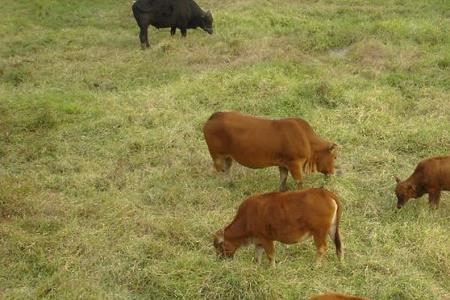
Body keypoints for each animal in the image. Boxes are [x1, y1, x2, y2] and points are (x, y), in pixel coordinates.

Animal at [202, 111, 336, 191]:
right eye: (334, 157)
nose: (332, 172)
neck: (306, 138)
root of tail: (216, 115)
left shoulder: (283, 164)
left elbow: (283, 178)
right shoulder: (294, 163)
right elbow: (299, 181)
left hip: (228, 156)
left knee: (227, 169)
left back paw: (231, 184)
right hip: (217, 155)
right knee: (220, 170)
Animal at [213, 189, 342, 266]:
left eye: (220, 246)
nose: (219, 259)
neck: (246, 219)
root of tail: (325, 193)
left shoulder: (266, 239)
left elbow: (270, 256)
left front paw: (272, 268)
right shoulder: (258, 241)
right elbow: (257, 256)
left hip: (319, 232)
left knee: (322, 248)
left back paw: (315, 265)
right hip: (332, 230)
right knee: (339, 245)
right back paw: (341, 263)